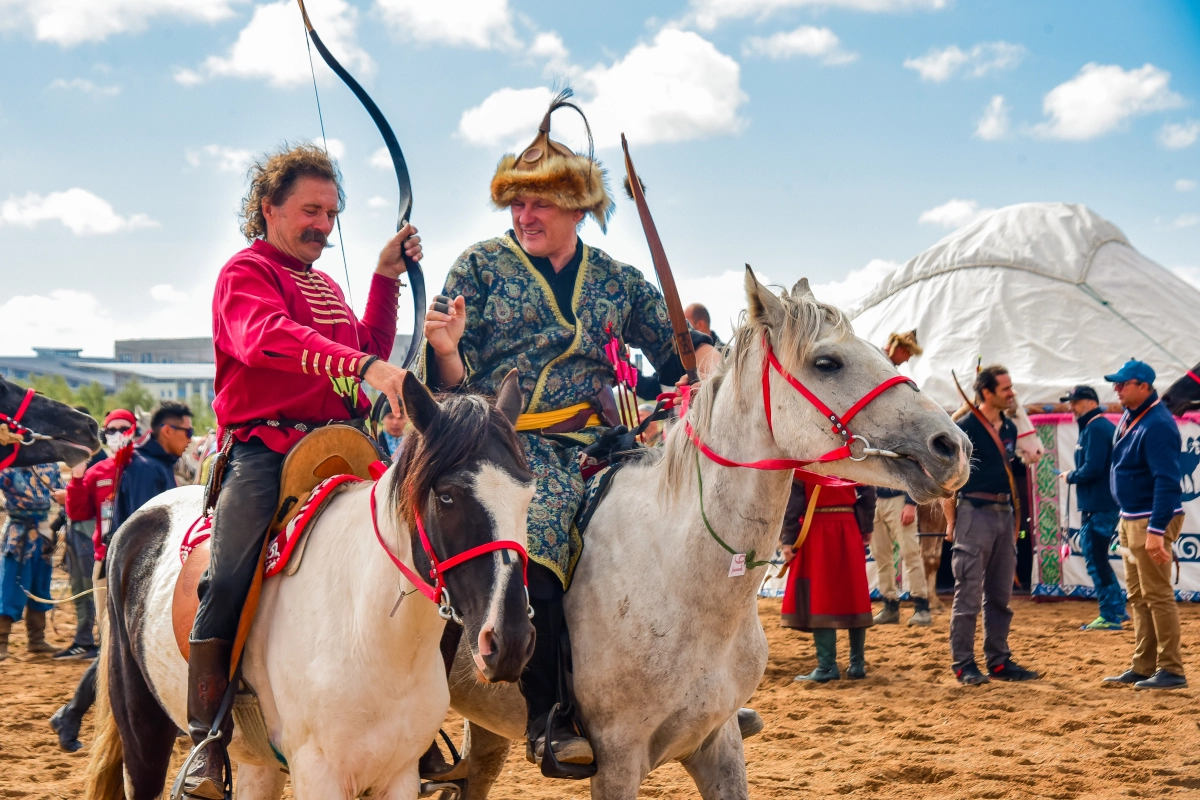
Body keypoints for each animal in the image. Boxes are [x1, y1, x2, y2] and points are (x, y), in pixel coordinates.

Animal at [84, 374, 535, 800]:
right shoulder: (320, 774)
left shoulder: (399, 776)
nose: (510, 640)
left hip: (257, 764)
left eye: (528, 496)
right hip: (142, 732)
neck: (372, 631)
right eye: (446, 497)